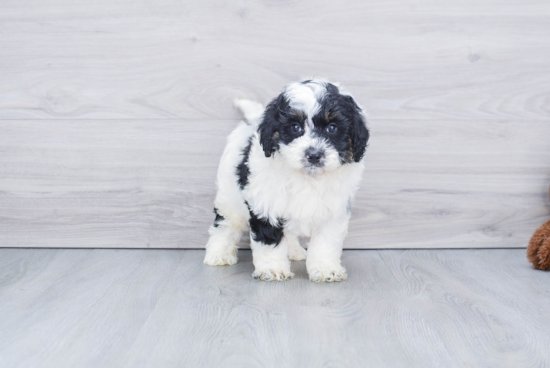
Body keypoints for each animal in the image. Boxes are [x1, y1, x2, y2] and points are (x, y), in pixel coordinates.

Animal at [204, 78, 370, 282]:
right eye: (295, 128)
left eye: (332, 128)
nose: (313, 155)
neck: (307, 177)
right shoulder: (266, 204)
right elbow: (269, 240)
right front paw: (272, 269)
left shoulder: (334, 210)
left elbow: (325, 243)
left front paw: (325, 269)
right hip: (229, 192)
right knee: (225, 222)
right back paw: (219, 253)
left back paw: (294, 251)